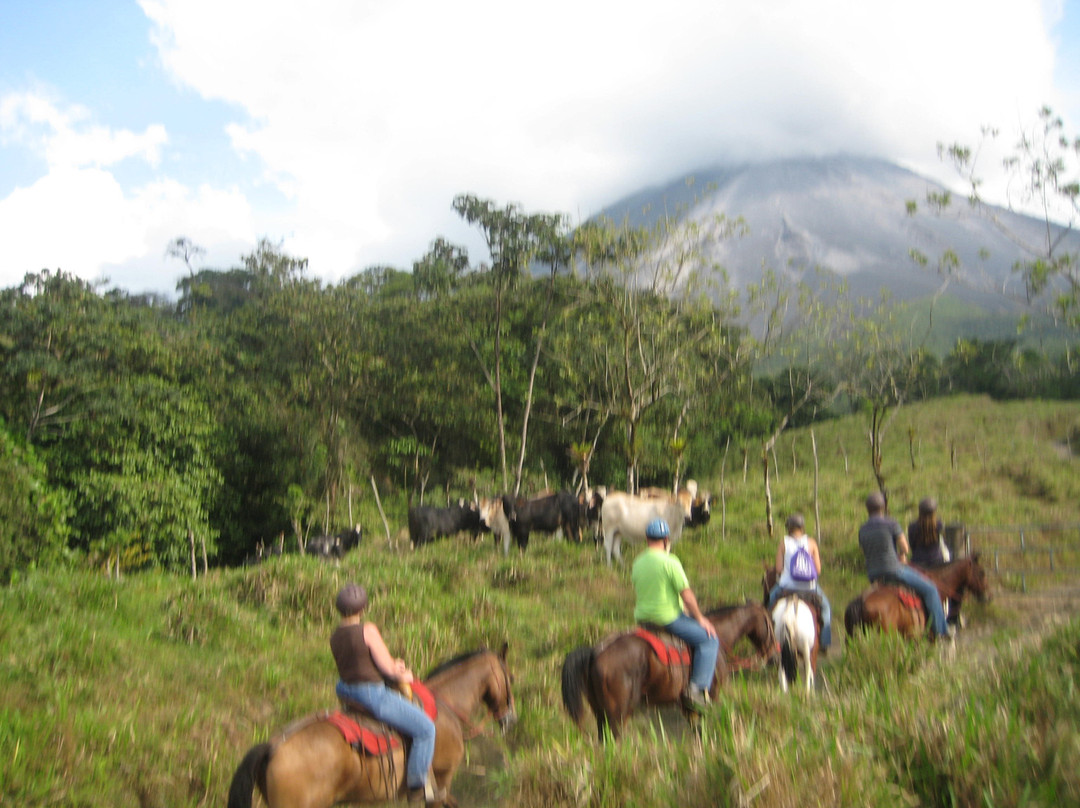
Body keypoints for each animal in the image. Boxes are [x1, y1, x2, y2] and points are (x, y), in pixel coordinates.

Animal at [561, 604, 781, 743]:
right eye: (771, 622)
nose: (775, 655)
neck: (718, 637)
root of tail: (595, 651)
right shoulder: (710, 695)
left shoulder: (687, 705)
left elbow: (697, 731)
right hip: (617, 714)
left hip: (600, 712)